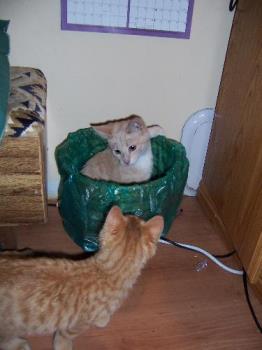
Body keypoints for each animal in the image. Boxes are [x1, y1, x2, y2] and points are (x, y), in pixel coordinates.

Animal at [0, 206, 163, 350]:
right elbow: (65, 335)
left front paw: (102, 318)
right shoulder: (77, 323)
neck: (107, 272)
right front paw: (63, 345)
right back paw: (20, 345)